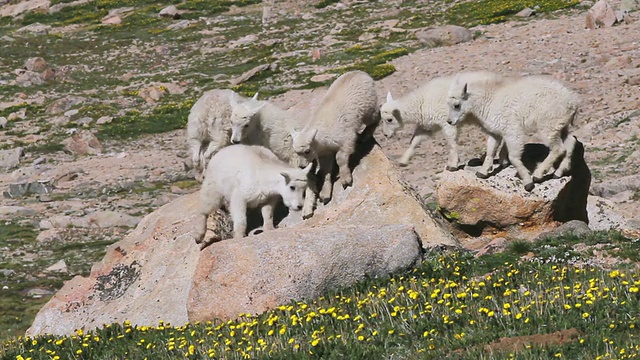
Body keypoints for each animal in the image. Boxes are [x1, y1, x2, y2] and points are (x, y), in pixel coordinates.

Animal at [292, 71, 378, 202]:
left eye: (307, 151)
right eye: (296, 152)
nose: (301, 166)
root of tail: (363, 73)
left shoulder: (344, 136)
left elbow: (341, 156)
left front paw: (346, 180)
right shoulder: (324, 151)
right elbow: (325, 168)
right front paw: (325, 194)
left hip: (367, 104)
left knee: (375, 116)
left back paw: (365, 135)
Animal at [444, 71, 580, 193]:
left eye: (457, 105)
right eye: (448, 103)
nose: (449, 121)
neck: (488, 99)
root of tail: (573, 102)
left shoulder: (512, 132)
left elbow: (513, 157)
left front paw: (528, 183)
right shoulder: (495, 133)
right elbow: (490, 152)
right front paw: (482, 173)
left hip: (547, 127)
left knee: (558, 148)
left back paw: (538, 174)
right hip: (560, 126)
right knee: (570, 142)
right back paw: (558, 172)